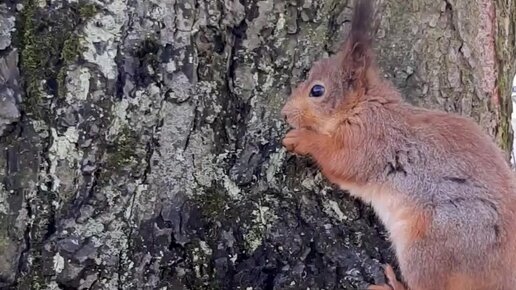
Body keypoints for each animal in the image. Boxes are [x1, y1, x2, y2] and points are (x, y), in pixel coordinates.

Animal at [280, 0, 516, 290]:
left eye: (317, 90)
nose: (284, 113)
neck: (362, 106)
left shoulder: (371, 139)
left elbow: (340, 160)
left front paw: (300, 138)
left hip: (429, 247)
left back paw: (391, 285)